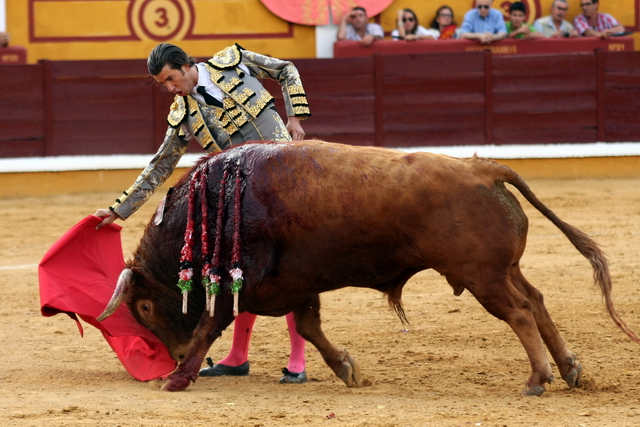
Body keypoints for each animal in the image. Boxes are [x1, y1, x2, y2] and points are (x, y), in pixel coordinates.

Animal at [97, 140, 636, 394]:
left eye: (144, 307)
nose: (170, 356)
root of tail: (482, 168)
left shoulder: (240, 282)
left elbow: (212, 325)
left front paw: (179, 378)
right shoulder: (295, 282)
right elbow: (309, 327)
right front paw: (348, 369)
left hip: (482, 276)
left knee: (521, 313)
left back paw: (538, 379)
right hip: (503, 270)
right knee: (538, 303)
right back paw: (570, 369)